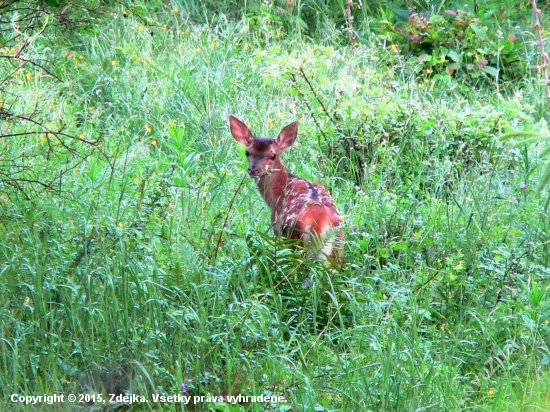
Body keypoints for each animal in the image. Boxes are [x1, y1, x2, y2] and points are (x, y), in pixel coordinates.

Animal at [230, 114, 344, 268]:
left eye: (273, 155)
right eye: (247, 152)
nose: (253, 169)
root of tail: (321, 224)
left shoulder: (277, 228)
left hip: (296, 240)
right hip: (339, 247)